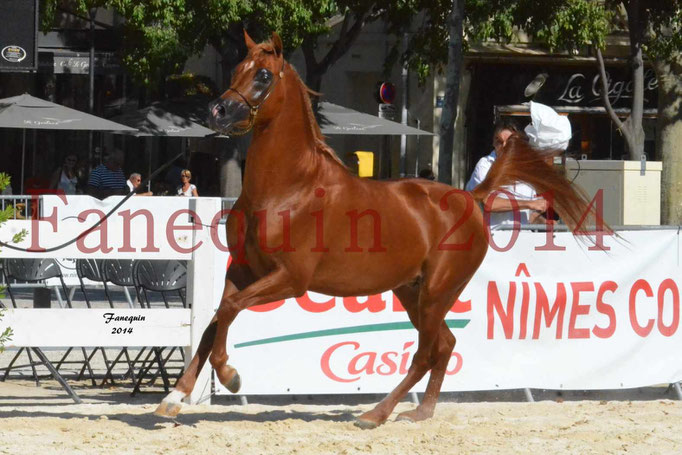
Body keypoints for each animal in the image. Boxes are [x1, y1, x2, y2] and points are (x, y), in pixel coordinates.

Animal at [157, 31, 592, 428]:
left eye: (263, 75)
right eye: (235, 69)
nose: (218, 111)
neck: (288, 188)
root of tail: (473, 198)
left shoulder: (290, 279)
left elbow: (229, 310)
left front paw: (230, 375)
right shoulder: (243, 270)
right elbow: (215, 318)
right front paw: (174, 397)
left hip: (438, 291)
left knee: (426, 352)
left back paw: (376, 414)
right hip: (412, 291)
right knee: (445, 344)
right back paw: (420, 412)